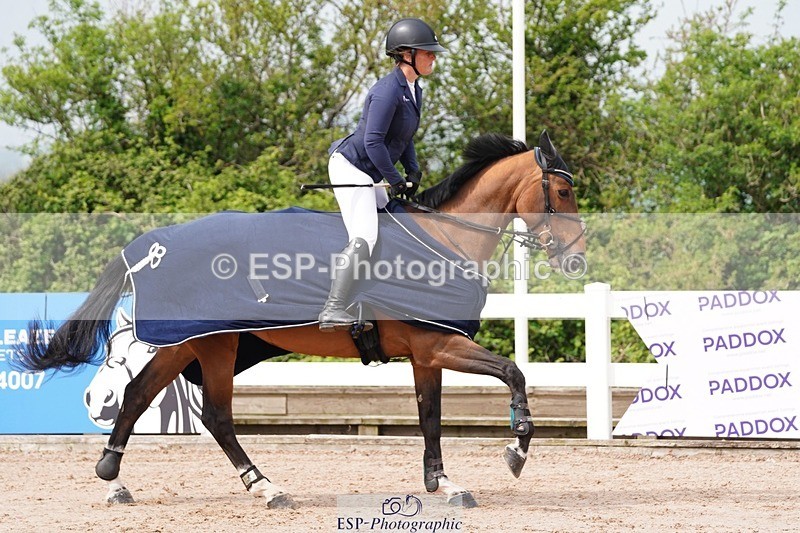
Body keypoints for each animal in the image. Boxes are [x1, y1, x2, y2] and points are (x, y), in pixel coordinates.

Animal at [16, 130, 586, 508]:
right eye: (562, 193)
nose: (577, 260)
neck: (447, 237)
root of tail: (150, 245)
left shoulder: (427, 356)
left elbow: (430, 418)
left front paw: (444, 484)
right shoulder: (439, 347)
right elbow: (514, 372)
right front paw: (516, 448)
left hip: (192, 342)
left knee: (141, 396)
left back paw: (115, 478)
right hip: (212, 343)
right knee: (211, 414)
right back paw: (265, 487)